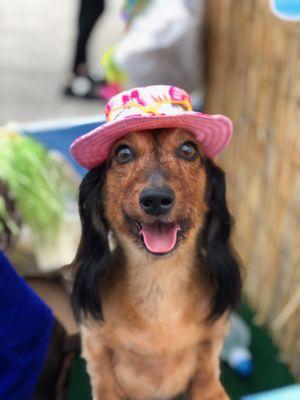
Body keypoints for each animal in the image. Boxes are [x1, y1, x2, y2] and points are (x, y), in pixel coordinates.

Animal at [71, 126, 241, 398]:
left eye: (188, 149)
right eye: (123, 153)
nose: (156, 199)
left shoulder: (211, 341)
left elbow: (207, 377)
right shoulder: (95, 346)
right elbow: (104, 381)